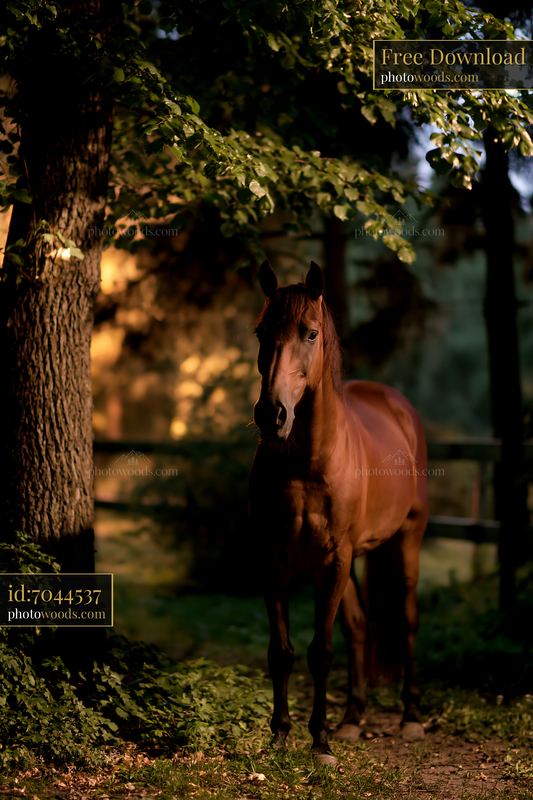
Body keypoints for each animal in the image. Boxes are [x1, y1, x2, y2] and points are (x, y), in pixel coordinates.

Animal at [249, 260, 429, 765]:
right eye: (261, 332)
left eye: (310, 333)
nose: (271, 415)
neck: (309, 462)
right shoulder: (273, 560)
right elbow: (282, 650)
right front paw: (280, 735)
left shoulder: (333, 559)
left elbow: (321, 651)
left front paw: (320, 743)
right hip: (349, 561)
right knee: (360, 629)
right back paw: (352, 719)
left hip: (404, 540)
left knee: (406, 619)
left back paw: (410, 717)